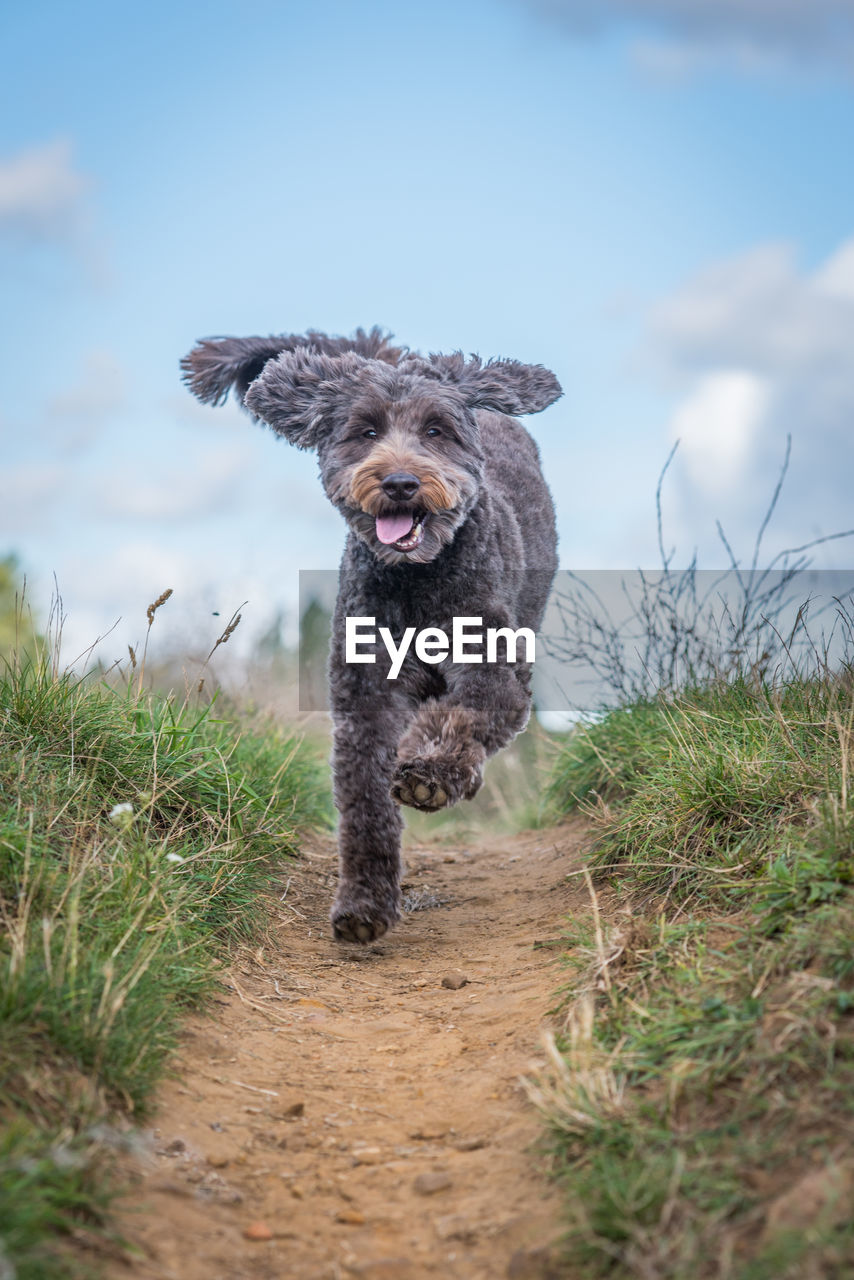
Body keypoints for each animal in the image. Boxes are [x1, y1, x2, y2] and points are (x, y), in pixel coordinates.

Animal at [181, 325, 560, 947]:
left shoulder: (494, 669)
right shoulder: (364, 698)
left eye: (435, 430)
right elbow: (364, 803)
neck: (416, 580)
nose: (400, 482)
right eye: (367, 431)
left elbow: (464, 715)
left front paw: (429, 773)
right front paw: (364, 904)